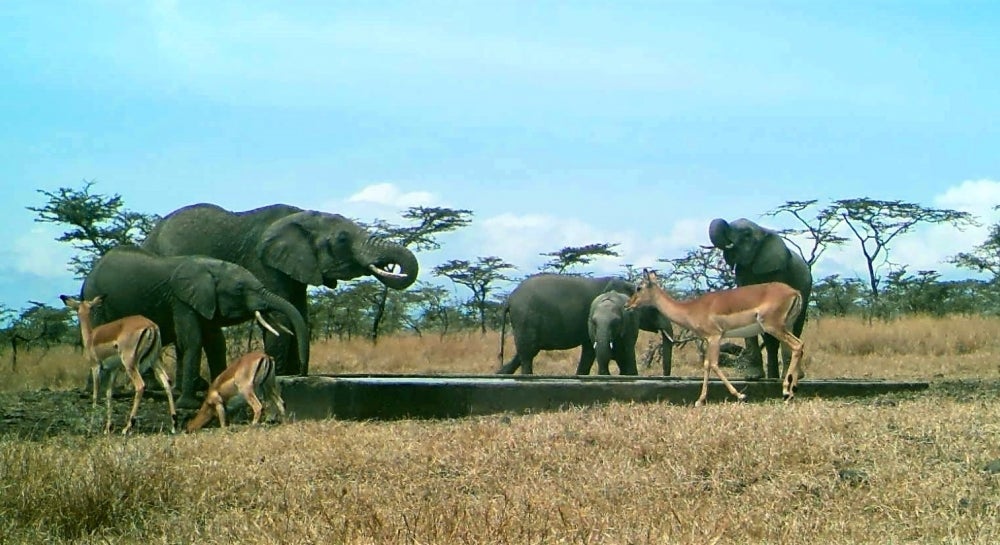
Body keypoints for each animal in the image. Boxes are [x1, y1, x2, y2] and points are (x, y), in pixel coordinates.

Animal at [80, 245, 310, 408]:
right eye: (239, 289)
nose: (301, 373)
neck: (209, 267)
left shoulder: (205, 302)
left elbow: (216, 343)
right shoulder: (181, 300)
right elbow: (192, 340)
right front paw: (189, 405)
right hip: (96, 300)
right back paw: (96, 394)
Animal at [143, 202, 420, 376]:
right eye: (342, 240)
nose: (391, 266)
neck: (302, 215)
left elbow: (300, 314)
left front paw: (294, 375)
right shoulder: (265, 263)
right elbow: (282, 317)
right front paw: (284, 377)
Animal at [498, 274, 676, 376]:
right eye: (654, 309)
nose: (664, 376)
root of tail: (509, 299)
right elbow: (590, 351)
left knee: (523, 353)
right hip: (525, 319)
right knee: (527, 354)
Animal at [704, 217, 812, 378]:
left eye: (747, 234)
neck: (763, 231)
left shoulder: (778, 271)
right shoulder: (742, 271)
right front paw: (752, 376)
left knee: (795, 326)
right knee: (770, 341)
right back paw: (772, 377)